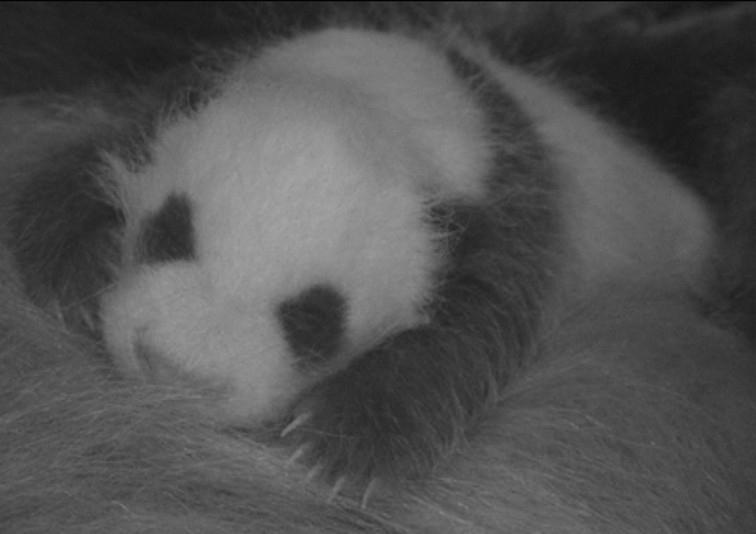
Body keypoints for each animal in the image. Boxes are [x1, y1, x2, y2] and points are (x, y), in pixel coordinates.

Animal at [1, 3, 755, 533]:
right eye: (169, 231)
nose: (176, 371)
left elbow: (470, 330)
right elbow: (94, 153)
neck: (384, 99)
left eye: (313, 318)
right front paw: (77, 265)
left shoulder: (507, 213)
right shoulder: (201, 80)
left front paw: (341, 447)